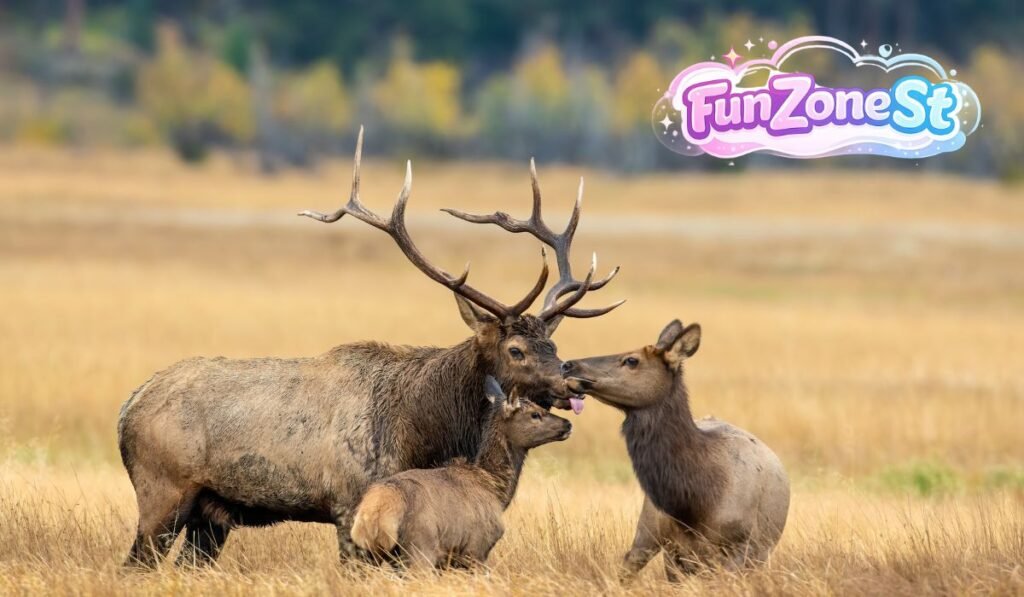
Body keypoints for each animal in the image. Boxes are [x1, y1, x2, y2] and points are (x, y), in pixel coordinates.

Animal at [351, 376, 571, 570]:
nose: (567, 424)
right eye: (535, 414)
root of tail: (375, 513)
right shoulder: (477, 547)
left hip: (372, 555)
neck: (494, 489)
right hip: (421, 548)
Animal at [560, 320, 790, 580]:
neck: (694, 504)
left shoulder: (742, 547)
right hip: (650, 529)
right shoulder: (667, 543)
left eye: (632, 360)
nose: (568, 365)